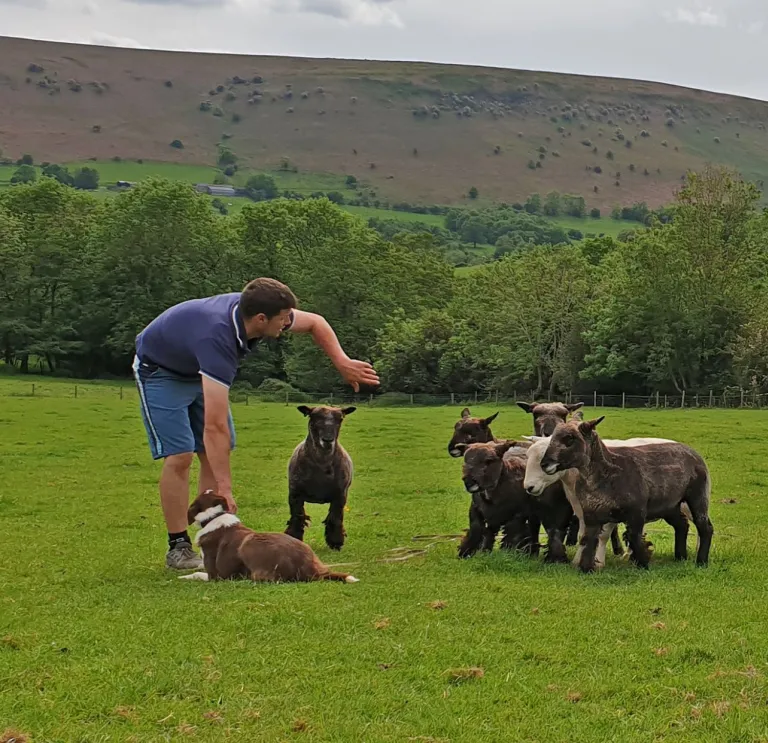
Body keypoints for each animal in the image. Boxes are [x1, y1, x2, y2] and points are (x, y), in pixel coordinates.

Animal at [179, 492, 360, 584]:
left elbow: (198, 574)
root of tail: (312, 570)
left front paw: (183, 576)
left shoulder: (216, 575)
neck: (214, 517)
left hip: (250, 548)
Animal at [286, 406, 356, 552]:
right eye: (313, 417)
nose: (328, 440)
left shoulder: (340, 495)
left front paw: (336, 543)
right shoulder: (295, 494)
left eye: (340, 419)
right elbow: (297, 517)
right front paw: (294, 539)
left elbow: (335, 518)